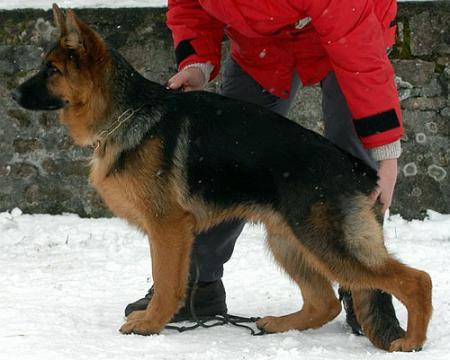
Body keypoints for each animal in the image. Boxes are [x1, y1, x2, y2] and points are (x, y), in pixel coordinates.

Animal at [12, 4, 430, 352]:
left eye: (52, 70)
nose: (13, 94)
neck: (127, 111)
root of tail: (359, 169)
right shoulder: (168, 232)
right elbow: (168, 276)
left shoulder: (168, 228)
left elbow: (166, 281)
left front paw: (151, 324)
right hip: (288, 240)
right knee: (324, 302)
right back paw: (281, 324)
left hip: (327, 243)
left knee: (416, 280)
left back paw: (411, 341)